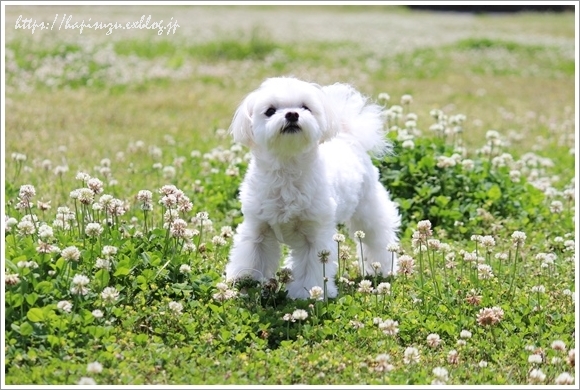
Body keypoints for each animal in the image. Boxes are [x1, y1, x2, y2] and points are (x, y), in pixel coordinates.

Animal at [224, 77, 402, 298]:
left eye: (305, 107)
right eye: (270, 111)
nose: (292, 114)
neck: (287, 168)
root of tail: (347, 137)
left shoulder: (315, 234)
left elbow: (312, 266)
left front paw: (307, 293)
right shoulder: (258, 227)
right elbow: (253, 256)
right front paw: (244, 283)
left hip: (367, 206)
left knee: (377, 235)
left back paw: (384, 268)